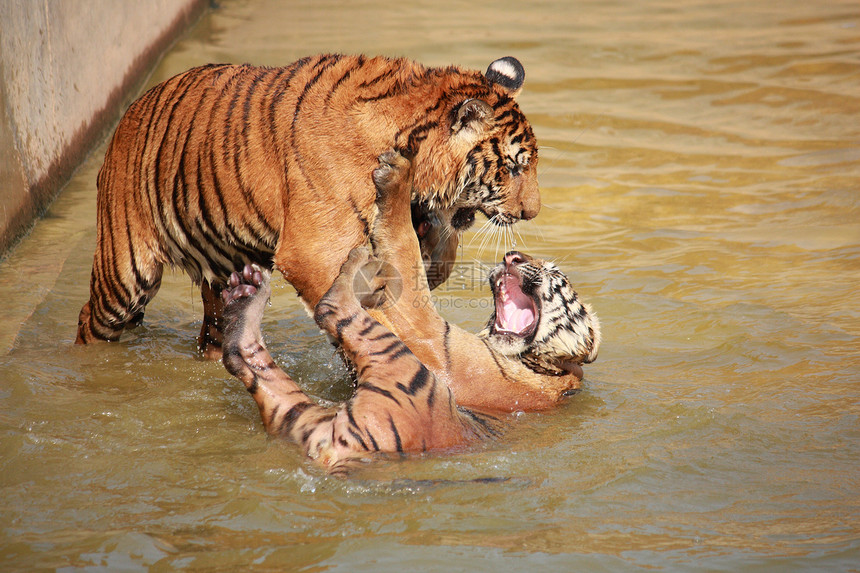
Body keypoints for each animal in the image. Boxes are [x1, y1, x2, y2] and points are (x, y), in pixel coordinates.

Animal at [75, 53, 584, 412]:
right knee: (89, 319)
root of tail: (128, 113)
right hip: (125, 275)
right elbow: (383, 315)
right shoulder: (313, 250)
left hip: (219, 278)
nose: (533, 212)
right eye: (514, 167)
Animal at [222, 248, 596, 472]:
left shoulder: (437, 343)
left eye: (555, 273)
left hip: (407, 376)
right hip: (297, 415)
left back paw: (359, 268)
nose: (512, 256)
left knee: (333, 308)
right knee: (239, 352)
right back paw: (245, 294)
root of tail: (329, 449)